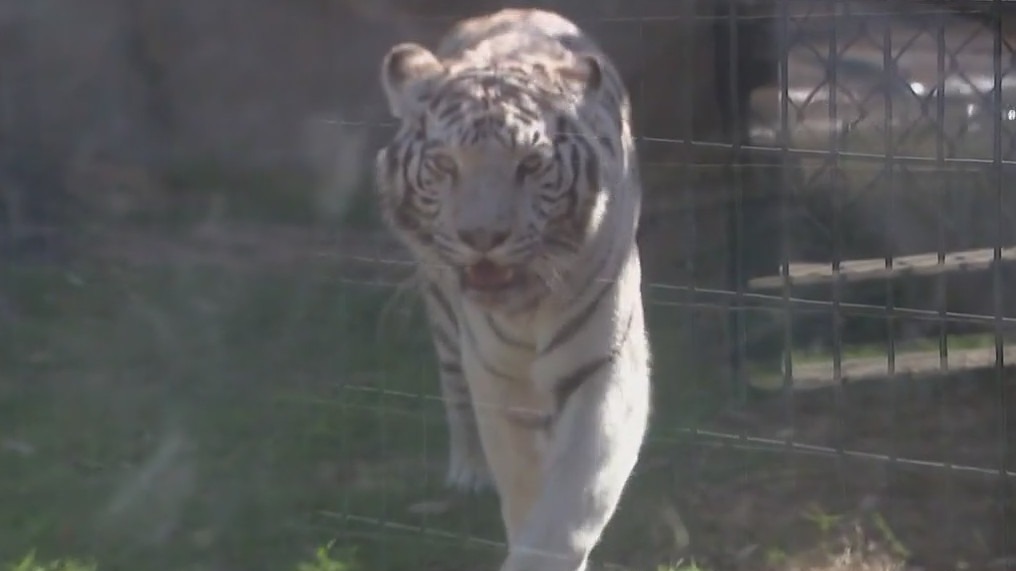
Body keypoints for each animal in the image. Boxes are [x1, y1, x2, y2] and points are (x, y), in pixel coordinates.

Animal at [374, 8, 652, 571]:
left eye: (530, 165)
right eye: (446, 165)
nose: (483, 237)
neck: (527, 306)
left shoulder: (605, 363)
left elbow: (576, 495)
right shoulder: (498, 377)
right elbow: (523, 484)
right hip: (442, 310)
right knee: (455, 392)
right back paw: (469, 471)